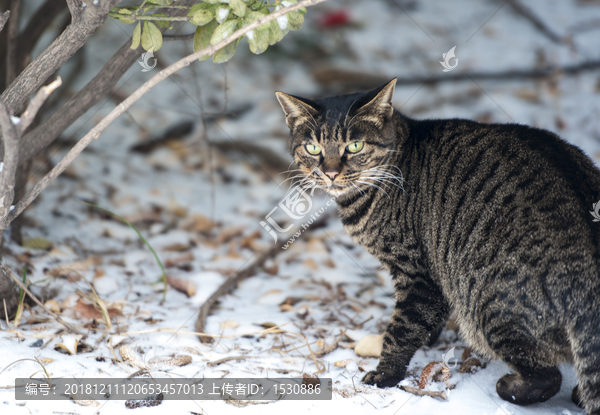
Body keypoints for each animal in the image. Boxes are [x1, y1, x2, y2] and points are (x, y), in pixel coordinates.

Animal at [276, 79, 600, 414]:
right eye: (313, 148)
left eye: (355, 146)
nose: (330, 172)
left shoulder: (418, 273)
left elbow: (402, 329)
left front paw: (385, 374)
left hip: (490, 307)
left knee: (547, 375)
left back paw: (511, 387)